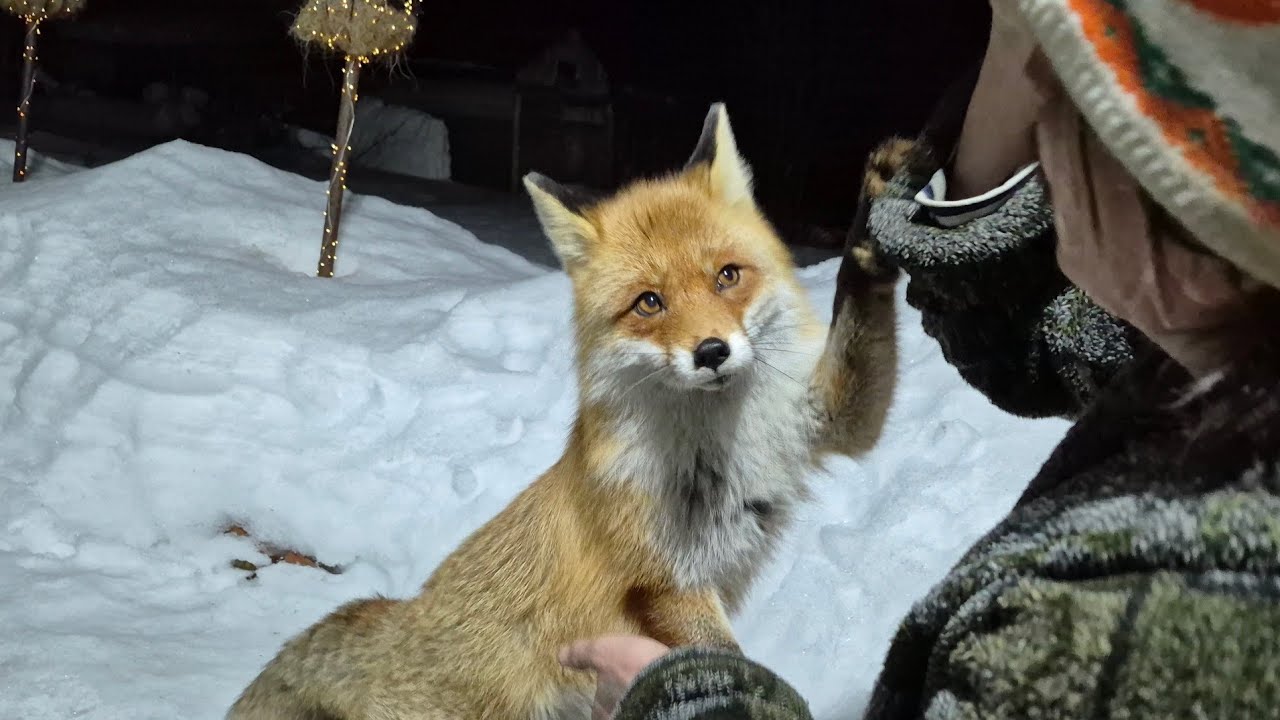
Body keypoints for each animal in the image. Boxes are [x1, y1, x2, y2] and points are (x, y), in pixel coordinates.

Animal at [226, 103, 904, 720]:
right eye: (649, 303)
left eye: (727, 277)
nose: (712, 352)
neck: (720, 444)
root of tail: (399, 614)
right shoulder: (662, 580)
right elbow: (724, 659)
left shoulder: (821, 423)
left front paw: (874, 228)